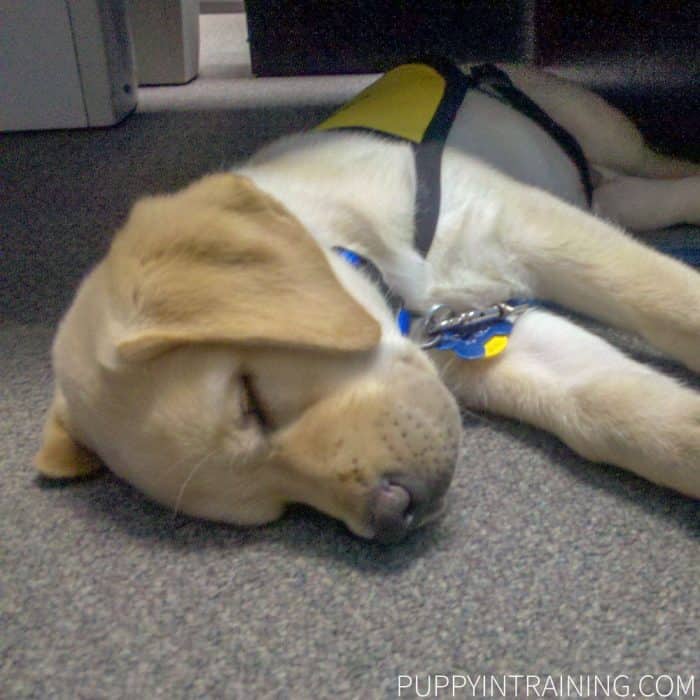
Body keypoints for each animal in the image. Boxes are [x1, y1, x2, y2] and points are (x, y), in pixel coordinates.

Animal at [37, 61, 700, 540]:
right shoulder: (473, 341)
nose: (392, 516)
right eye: (277, 506)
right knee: (641, 197)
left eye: (251, 400)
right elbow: (611, 407)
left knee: (658, 168)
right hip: (612, 196)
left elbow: (668, 299)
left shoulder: (524, 221)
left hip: (599, 131)